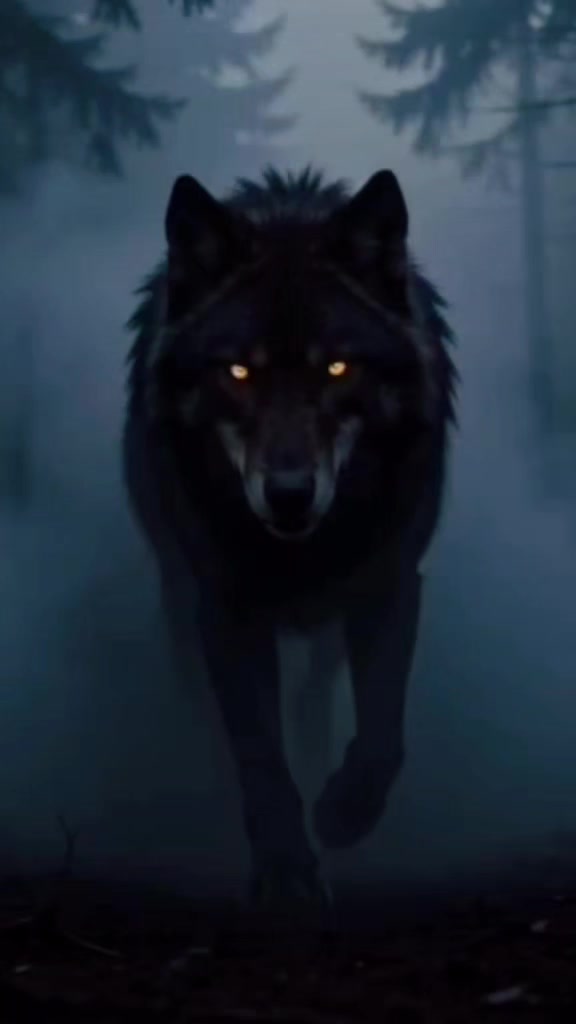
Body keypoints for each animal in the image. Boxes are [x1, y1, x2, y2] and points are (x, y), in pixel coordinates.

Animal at [123, 166, 456, 910]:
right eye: (238, 372)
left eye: (337, 370)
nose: (289, 494)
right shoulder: (225, 609)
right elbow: (256, 749)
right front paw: (284, 869)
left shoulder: (388, 582)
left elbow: (382, 732)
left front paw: (342, 814)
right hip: (177, 592)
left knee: (318, 693)